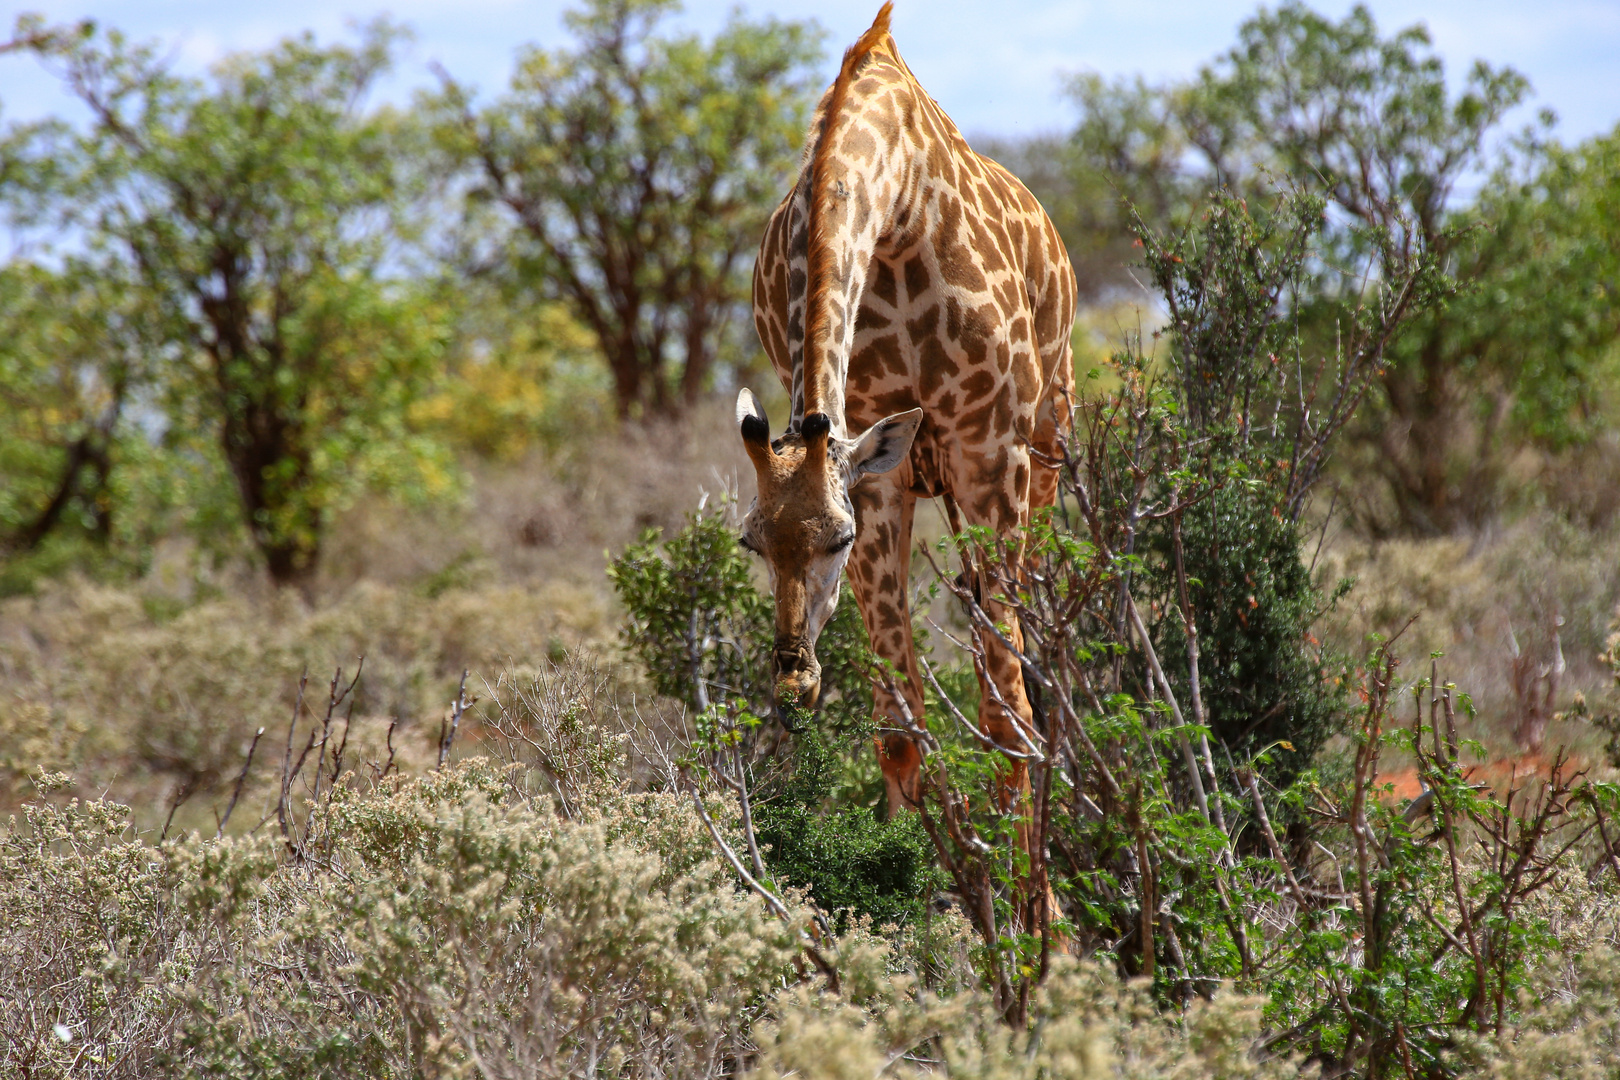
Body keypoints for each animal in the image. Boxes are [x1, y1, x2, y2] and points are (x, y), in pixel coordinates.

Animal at [741, 4, 1075, 822]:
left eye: (835, 540)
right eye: (750, 543)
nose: (794, 684)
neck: (890, 215)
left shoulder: (989, 450)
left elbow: (1008, 719)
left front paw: (1020, 865)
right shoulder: (879, 474)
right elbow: (898, 726)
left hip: (1046, 448)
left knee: (1034, 659)